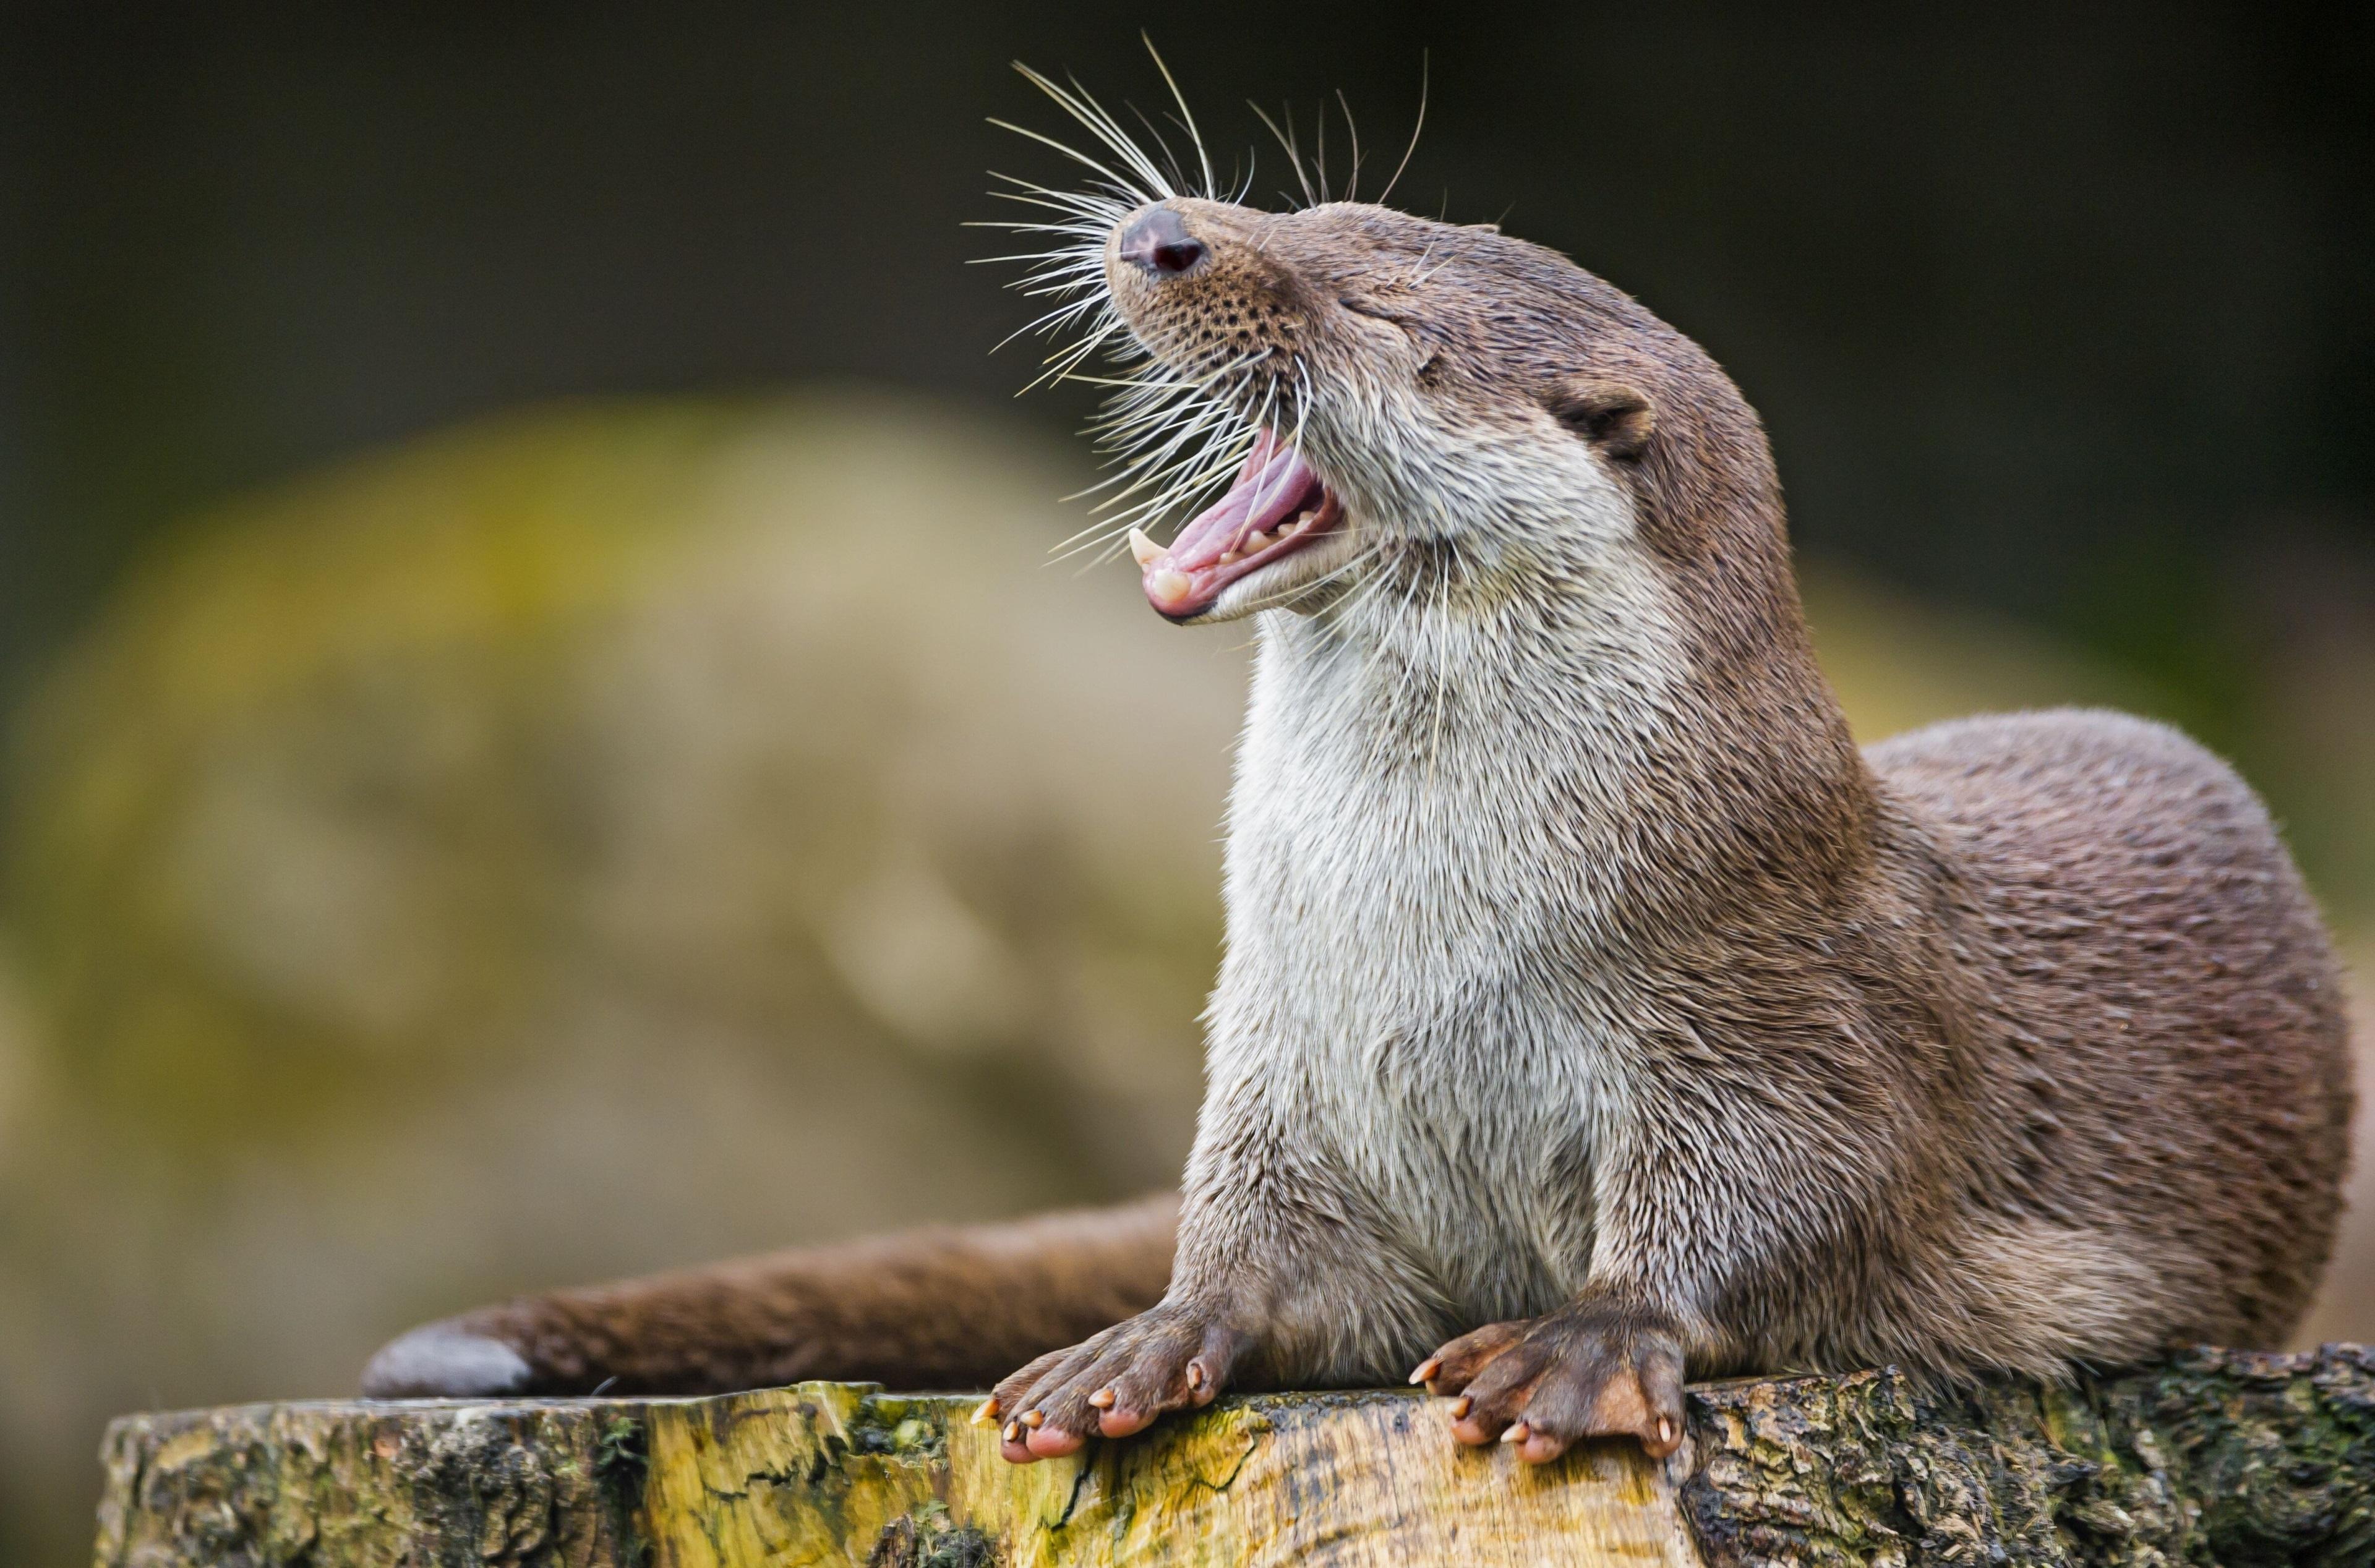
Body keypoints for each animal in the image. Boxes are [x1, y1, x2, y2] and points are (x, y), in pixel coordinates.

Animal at [365, 96, 2354, 1471]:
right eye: (1310, 211)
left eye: (1379, 312)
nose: (1167, 232)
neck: (1425, 934)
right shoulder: (1278, 1051)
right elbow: (1261, 1249)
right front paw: (1153, 1334)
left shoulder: (1776, 1002)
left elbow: (1792, 1199)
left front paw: (1583, 1337)